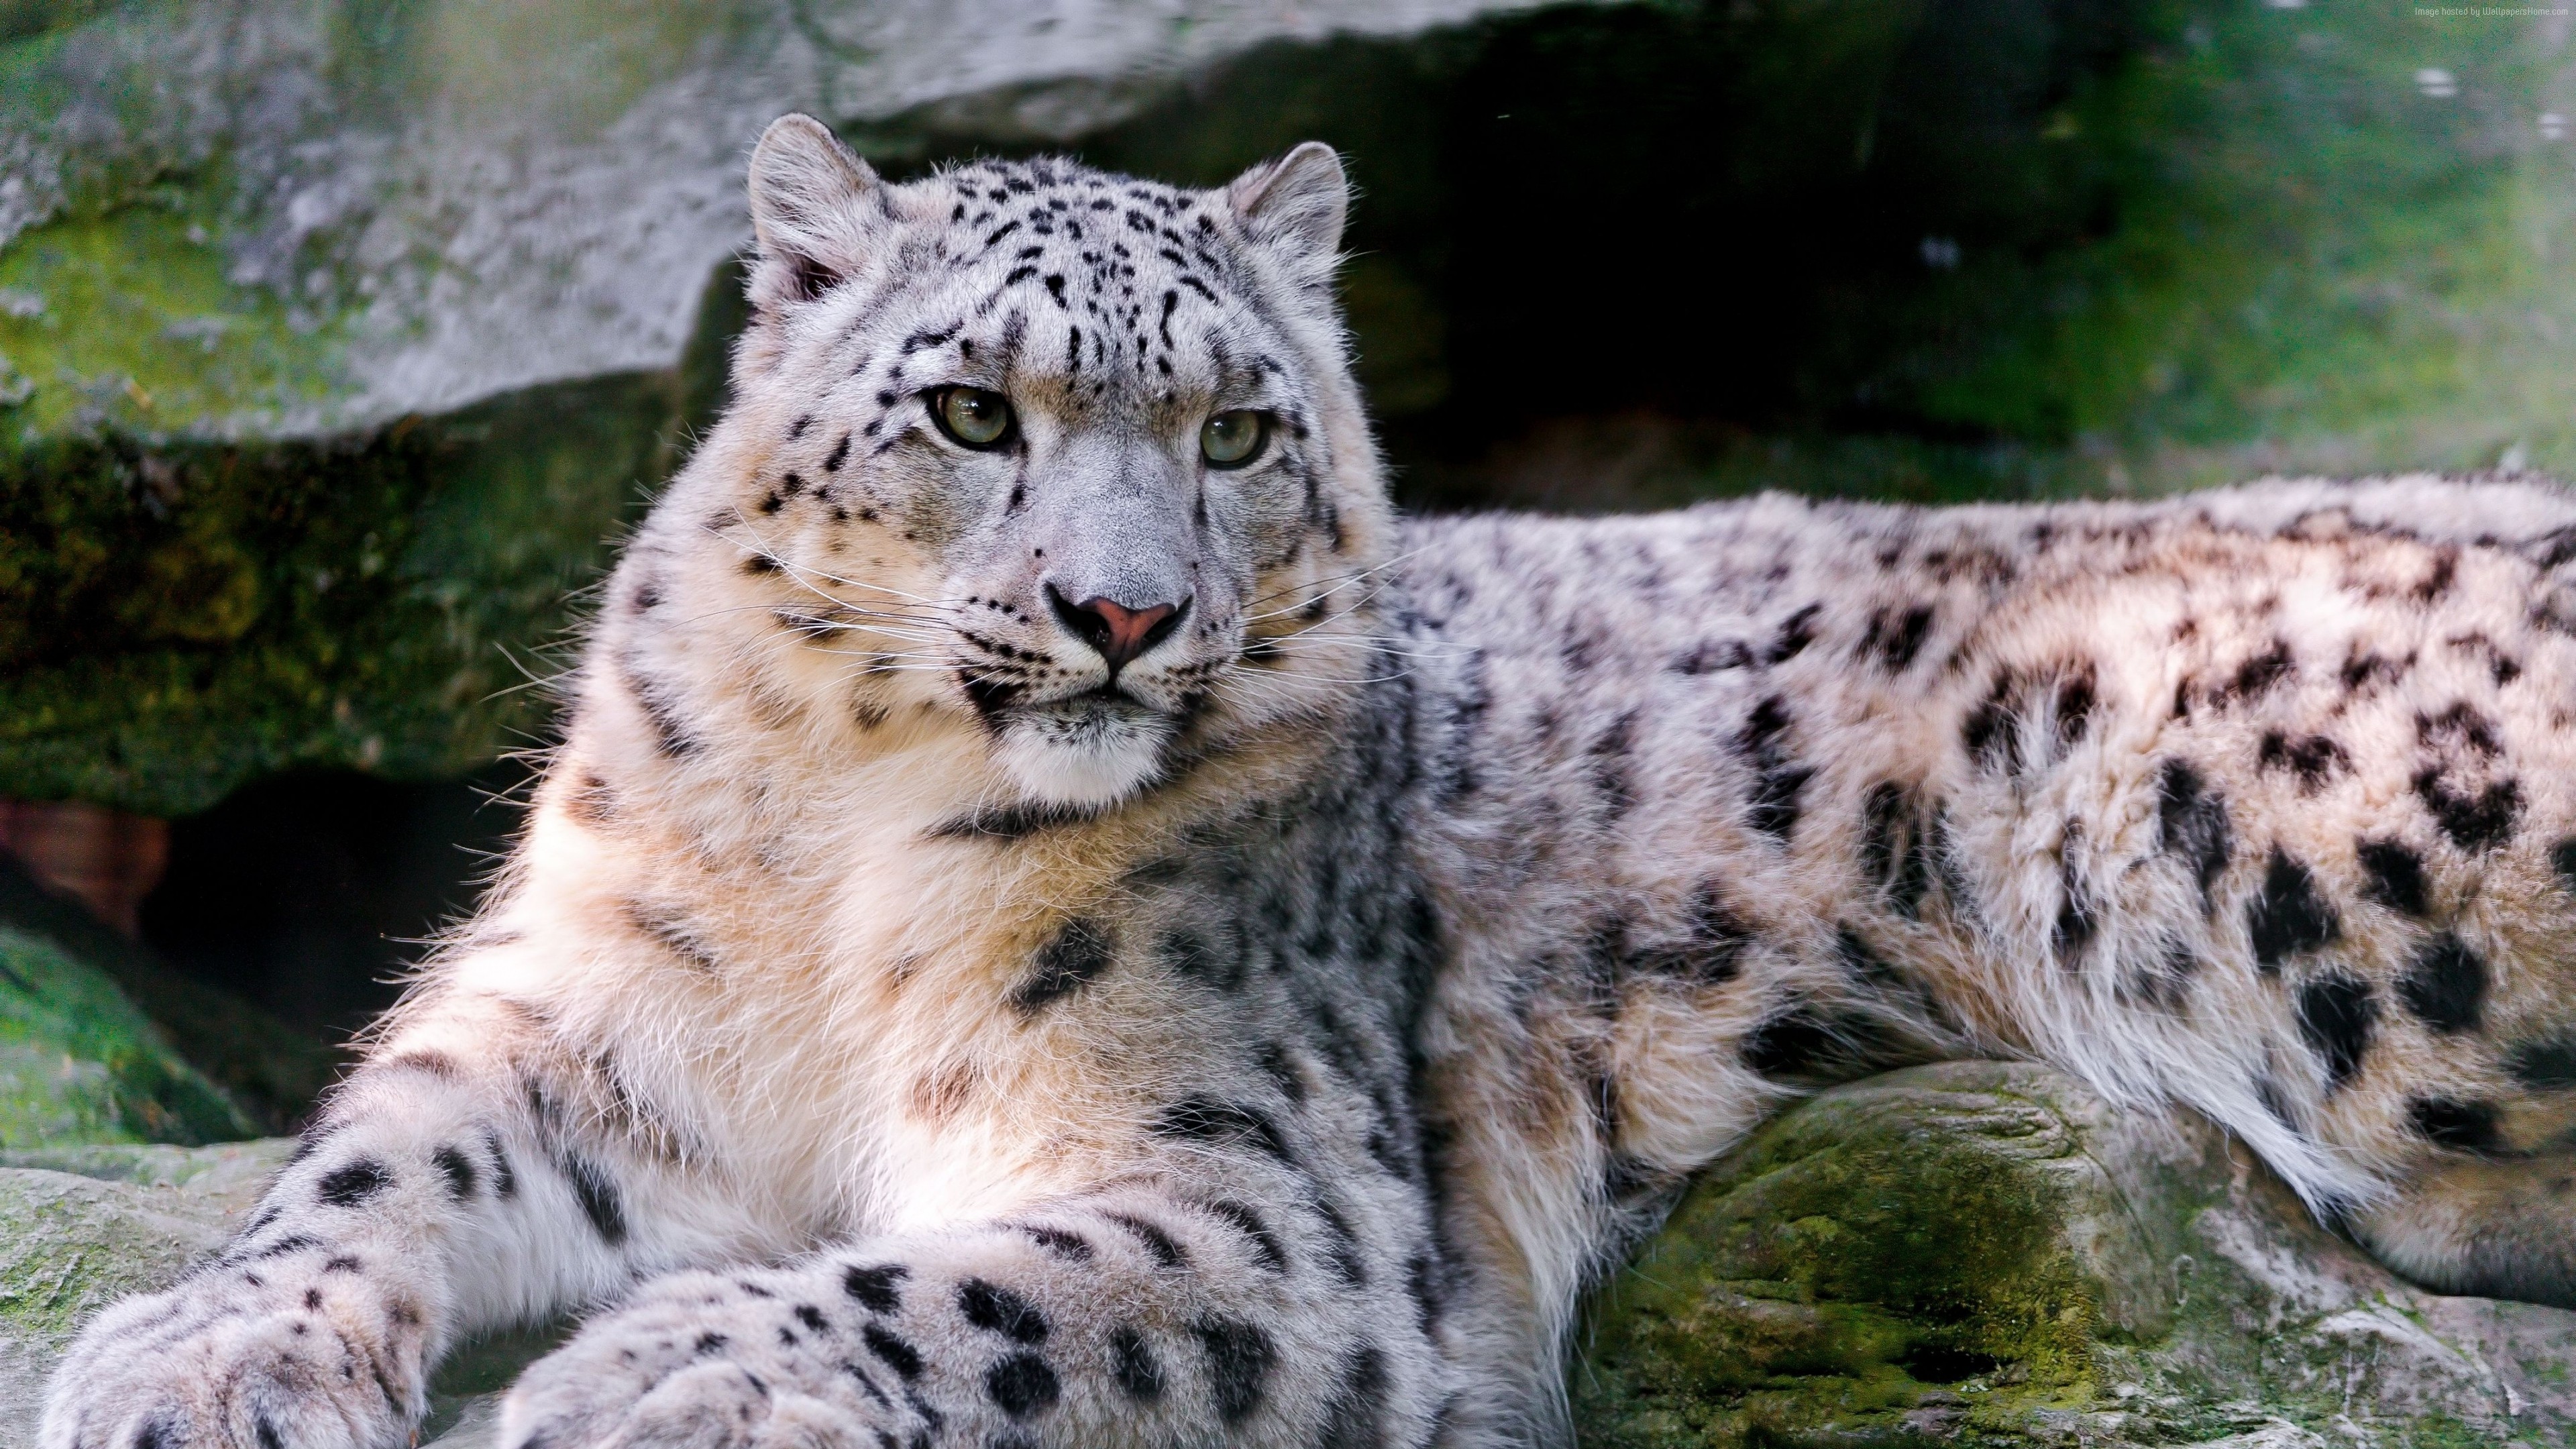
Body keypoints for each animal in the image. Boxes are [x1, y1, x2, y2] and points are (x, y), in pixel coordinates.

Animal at [44, 112, 2576, 1449]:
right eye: (973, 408)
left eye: (1241, 430)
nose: (1120, 614)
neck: (844, 864)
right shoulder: (582, 1014)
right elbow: (369, 1160)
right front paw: (189, 1356)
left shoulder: (1251, 1183)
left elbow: (960, 1291)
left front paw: (651, 1376)